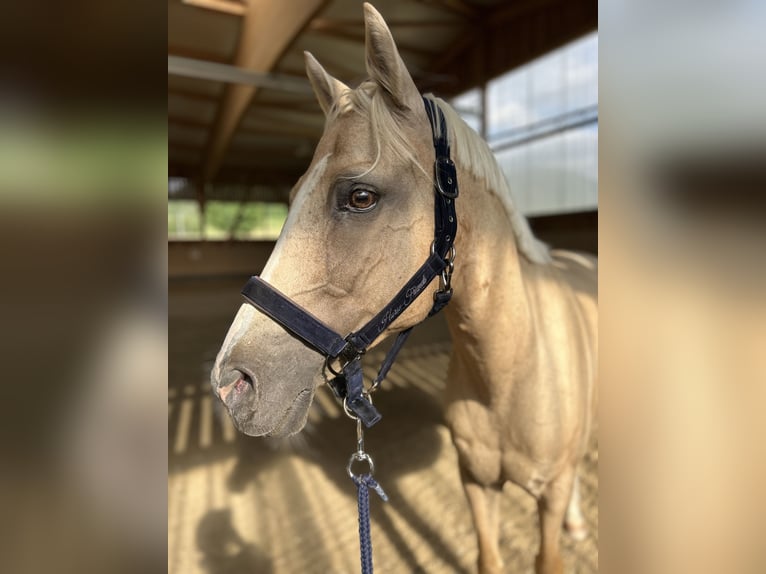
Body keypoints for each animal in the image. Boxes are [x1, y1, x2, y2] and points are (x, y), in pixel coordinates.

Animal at [211, 4, 597, 573]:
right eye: (293, 191)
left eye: (360, 196)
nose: (231, 383)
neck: (512, 368)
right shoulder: (475, 484)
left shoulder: (545, 497)